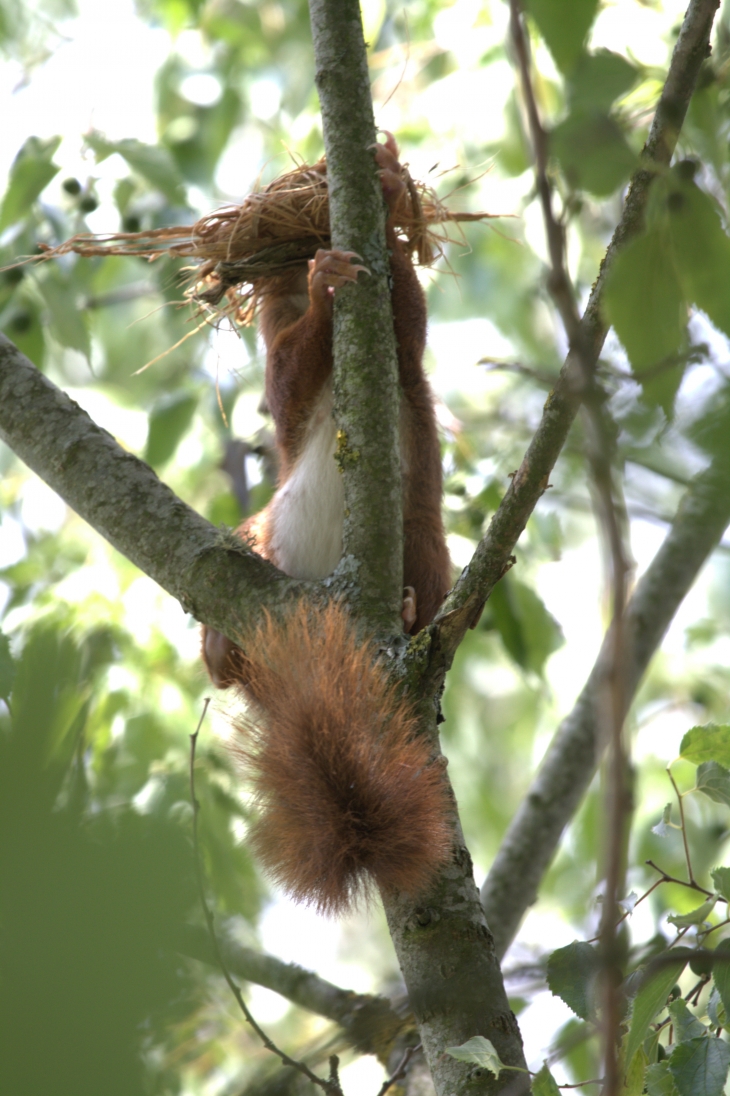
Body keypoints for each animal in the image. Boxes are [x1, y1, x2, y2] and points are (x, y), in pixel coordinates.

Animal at [199, 134, 449, 907]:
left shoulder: (402, 359)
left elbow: (408, 315)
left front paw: (390, 186)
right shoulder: (285, 365)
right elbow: (284, 382)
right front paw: (323, 282)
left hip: (427, 547)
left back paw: (407, 612)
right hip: (266, 541)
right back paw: (219, 646)